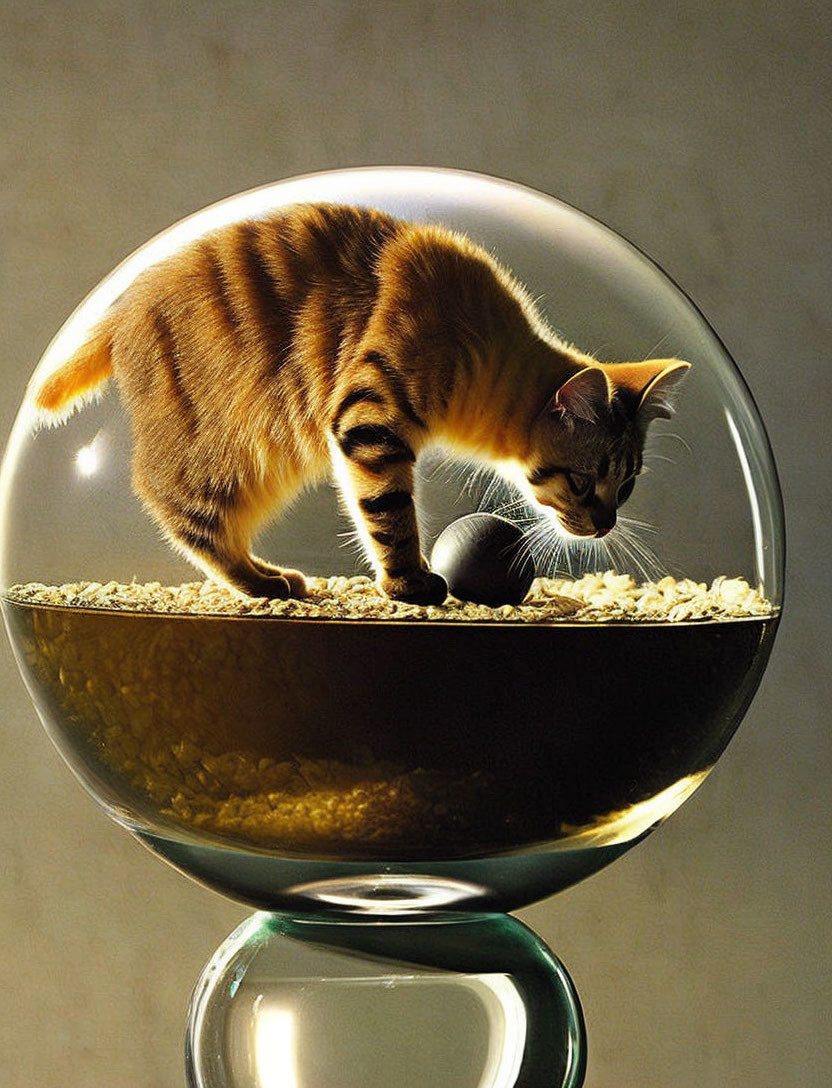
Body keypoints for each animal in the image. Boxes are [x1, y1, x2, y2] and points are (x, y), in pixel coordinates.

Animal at [34, 203, 687, 604]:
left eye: (626, 485)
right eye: (582, 482)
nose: (605, 526)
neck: (485, 346)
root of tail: (115, 314)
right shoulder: (370, 422)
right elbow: (390, 516)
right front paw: (409, 586)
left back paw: (269, 576)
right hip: (227, 448)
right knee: (182, 513)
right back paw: (264, 584)